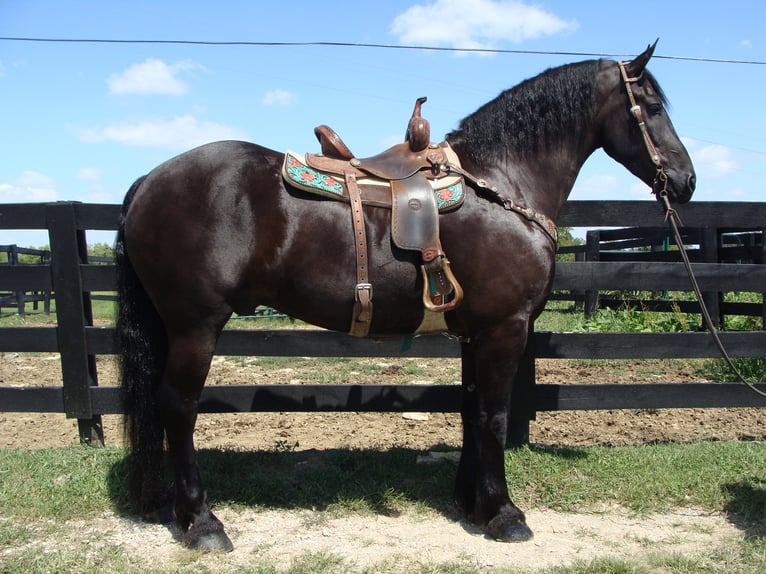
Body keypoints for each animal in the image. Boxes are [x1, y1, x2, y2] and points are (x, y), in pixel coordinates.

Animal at [118, 42, 696, 552]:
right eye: (651, 107)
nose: (686, 181)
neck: (500, 186)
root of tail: (150, 180)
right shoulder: (505, 328)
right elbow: (495, 416)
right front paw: (505, 514)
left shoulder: (475, 334)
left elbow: (470, 411)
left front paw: (472, 504)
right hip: (195, 325)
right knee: (178, 407)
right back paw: (202, 523)